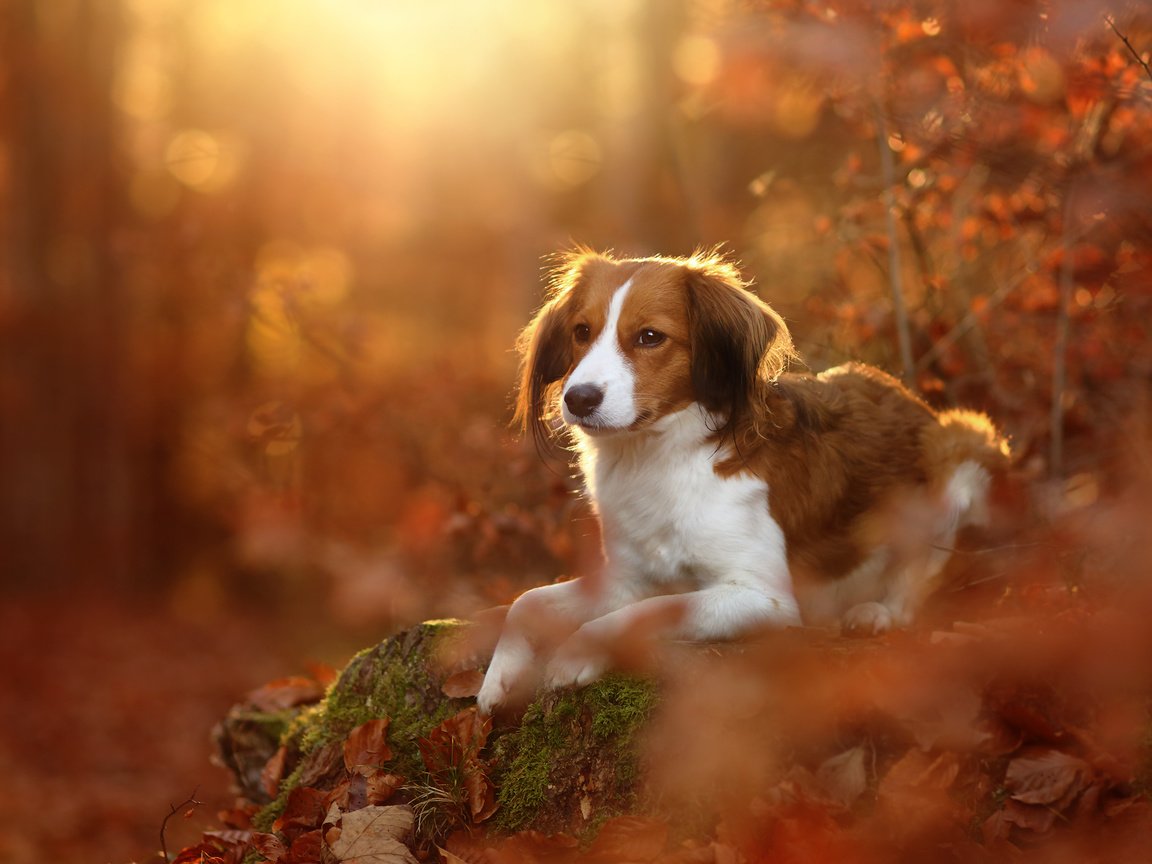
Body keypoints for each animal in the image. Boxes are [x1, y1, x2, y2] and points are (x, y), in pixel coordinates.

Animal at [474, 249, 1009, 718]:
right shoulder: (629, 577)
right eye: (582, 332)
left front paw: (574, 652)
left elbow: (648, 613)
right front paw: (501, 679)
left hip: (960, 446)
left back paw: (877, 612)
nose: (579, 398)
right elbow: (527, 601)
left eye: (649, 336)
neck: (660, 457)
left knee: (921, 577)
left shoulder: (763, 597)